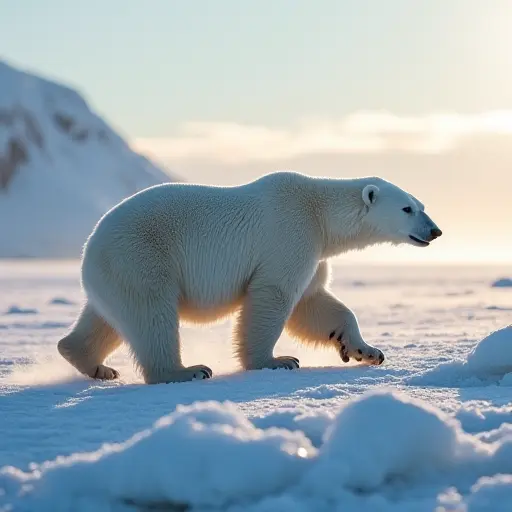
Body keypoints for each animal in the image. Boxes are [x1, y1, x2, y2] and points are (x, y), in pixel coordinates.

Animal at [56, 172, 440, 384]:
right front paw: (277, 361)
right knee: (152, 315)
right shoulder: (291, 234)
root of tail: (88, 246)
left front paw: (367, 350)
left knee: (107, 318)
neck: (319, 212)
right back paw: (186, 371)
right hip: (142, 256)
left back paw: (92, 363)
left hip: (114, 273)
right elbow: (274, 295)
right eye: (407, 208)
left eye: (421, 205)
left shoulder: (314, 251)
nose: (435, 231)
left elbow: (314, 302)